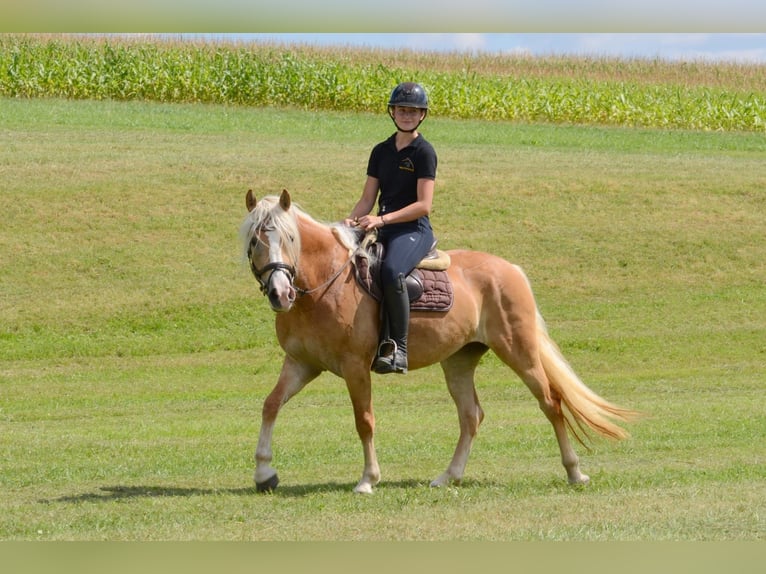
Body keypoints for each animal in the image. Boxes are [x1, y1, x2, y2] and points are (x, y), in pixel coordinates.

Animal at [243, 189, 640, 496]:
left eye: (289, 239)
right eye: (254, 242)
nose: (280, 294)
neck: (325, 284)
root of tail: (510, 269)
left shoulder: (356, 367)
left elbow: (364, 420)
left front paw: (368, 480)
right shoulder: (302, 363)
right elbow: (270, 405)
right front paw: (264, 473)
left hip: (519, 352)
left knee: (551, 403)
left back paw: (575, 472)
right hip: (459, 361)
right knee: (471, 415)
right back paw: (448, 476)